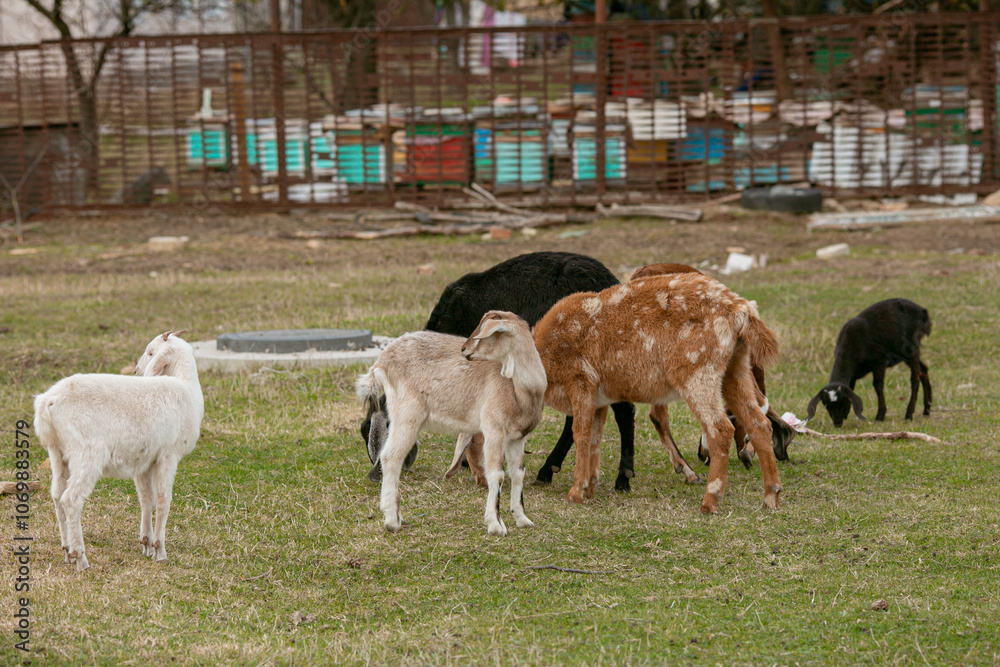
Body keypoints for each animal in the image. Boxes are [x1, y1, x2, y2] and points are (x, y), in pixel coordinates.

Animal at [33, 331, 203, 571]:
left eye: (150, 353)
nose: (136, 371)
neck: (186, 386)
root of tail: (47, 402)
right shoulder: (168, 455)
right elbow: (163, 500)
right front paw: (160, 550)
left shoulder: (145, 460)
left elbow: (146, 499)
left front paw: (146, 544)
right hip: (87, 453)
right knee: (71, 500)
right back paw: (80, 557)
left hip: (57, 453)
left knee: (57, 495)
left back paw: (67, 551)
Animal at [356, 311, 546, 536]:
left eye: (487, 333)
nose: (464, 349)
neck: (519, 392)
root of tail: (381, 362)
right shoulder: (494, 430)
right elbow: (497, 474)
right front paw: (495, 525)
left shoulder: (518, 438)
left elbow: (518, 473)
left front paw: (522, 519)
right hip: (406, 414)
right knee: (391, 457)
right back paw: (392, 520)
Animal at [533, 273, 782, 514]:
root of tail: (742, 311)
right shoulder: (599, 398)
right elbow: (596, 435)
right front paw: (590, 488)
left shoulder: (582, 380)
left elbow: (581, 433)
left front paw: (575, 493)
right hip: (736, 367)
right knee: (759, 423)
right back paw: (771, 497)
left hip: (697, 371)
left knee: (720, 428)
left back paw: (709, 503)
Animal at [806, 298, 932, 427]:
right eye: (826, 405)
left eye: (842, 403)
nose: (837, 423)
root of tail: (923, 312)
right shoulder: (853, 375)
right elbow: (851, 388)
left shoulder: (879, 361)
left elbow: (878, 385)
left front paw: (880, 416)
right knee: (923, 370)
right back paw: (926, 409)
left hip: (911, 348)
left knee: (915, 377)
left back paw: (909, 413)